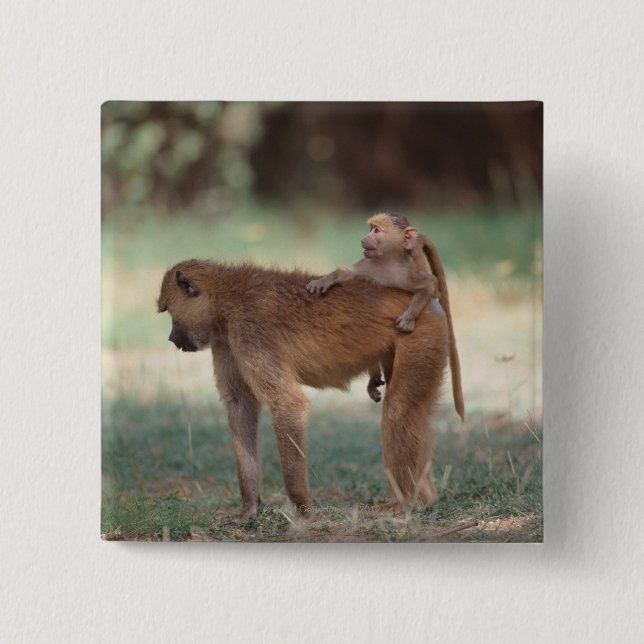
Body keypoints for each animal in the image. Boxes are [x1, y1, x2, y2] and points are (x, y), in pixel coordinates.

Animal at [158, 259, 454, 521]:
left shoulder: (249, 332)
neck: (225, 299)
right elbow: (240, 405)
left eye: (169, 312)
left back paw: (401, 505)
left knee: (398, 408)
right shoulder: (226, 341)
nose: (171, 338)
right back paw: (426, 499)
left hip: (419, 333)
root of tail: (425, 302)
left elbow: (287, 402)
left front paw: (302, 509)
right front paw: (250, 508)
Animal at [306, 213, 464, 421]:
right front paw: (324, 280)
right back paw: (374, 377)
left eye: (376, 231)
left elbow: (430, 286)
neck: (388, 262)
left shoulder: (407, 273)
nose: (363, 240)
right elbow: (346, 272)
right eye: (370, 229)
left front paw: (408, 318)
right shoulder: (368, 266)